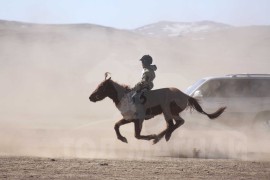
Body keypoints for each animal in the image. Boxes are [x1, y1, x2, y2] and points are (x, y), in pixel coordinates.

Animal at [89, 72, 226, 144]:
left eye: (101, 87)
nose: (90, 97)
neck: (126, 97)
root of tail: (186, 95)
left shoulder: (138, 119)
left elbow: (137, 135)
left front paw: (151, 136)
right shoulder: (129, 119)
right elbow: (116, 125)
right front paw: (122, 139)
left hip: (167, 111)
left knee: (171, 124)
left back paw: (159, 137)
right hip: (172, 113)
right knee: (178, 123)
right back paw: (164, 137)